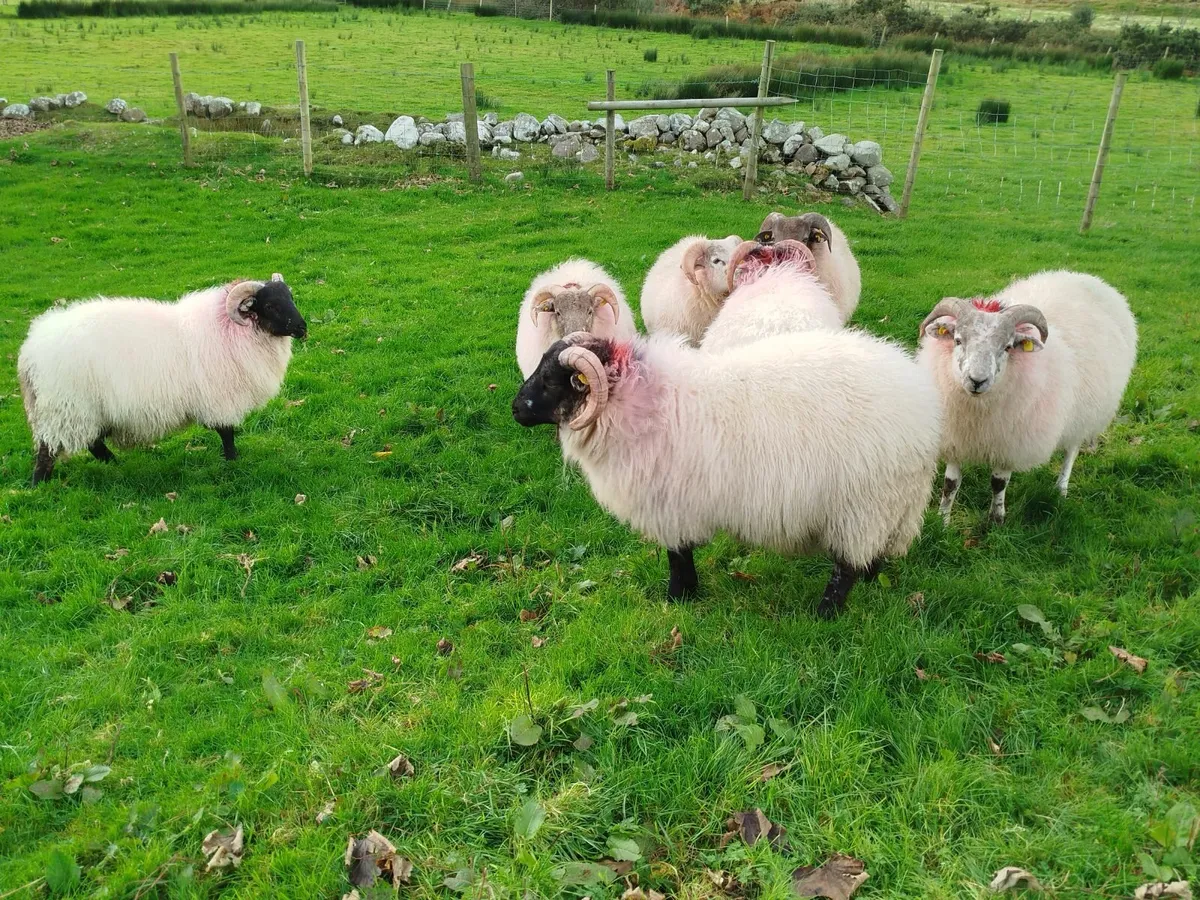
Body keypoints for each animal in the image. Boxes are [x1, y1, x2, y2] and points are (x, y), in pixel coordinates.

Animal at [19, 275, 307, 486]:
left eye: (290, 297)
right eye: (269, 305)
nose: (302, 328)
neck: (230, 330)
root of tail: (30, 350)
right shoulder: (219, 399)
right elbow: (227, 433)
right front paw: (232, 462)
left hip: (85, 410)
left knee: (93, 443)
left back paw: (116, 465)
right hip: (66, 407)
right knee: (49, 449)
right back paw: (39, 486)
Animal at [512, 323, 942, 618]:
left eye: (551, 380)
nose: (515, 409)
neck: (640, 402)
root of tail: (925, 410)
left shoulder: (671, 504)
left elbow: (678, 555)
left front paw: (678, 598)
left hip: (863, 504)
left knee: (847, 568)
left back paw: (825, 615)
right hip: (890, 506)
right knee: (873, 555)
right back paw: (870, 582)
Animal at [916, 270, 1137, 525]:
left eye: (1007, 346)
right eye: (958, 340)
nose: (976, 380)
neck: (977, 411)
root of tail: (1087, 277)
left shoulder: (1012, 442)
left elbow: (998, 483)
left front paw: (996, 519)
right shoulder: (956, 436)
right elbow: (950, 484)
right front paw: (943, 520)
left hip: (1084, 411)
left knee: (1071, 451)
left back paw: (1061, 488)